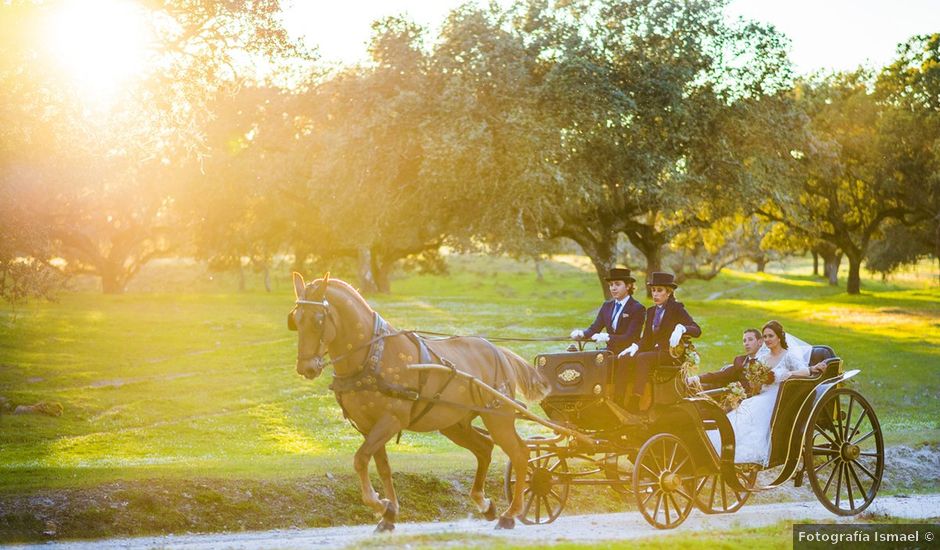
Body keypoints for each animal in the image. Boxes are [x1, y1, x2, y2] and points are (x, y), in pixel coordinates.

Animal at [290, 274, 548, 532]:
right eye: (296, 320)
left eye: (318, 320)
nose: (306, 368)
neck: (372, 355)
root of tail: (499, 352)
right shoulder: (368, 427)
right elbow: (382, 467)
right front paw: (389, 513)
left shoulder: (391, 420)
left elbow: (360, 459)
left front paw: (380, 504)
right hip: (454, 424)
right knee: (484, 448)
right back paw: (485, 505)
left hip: (498, 417)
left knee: (520, 453)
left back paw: (510, 513)